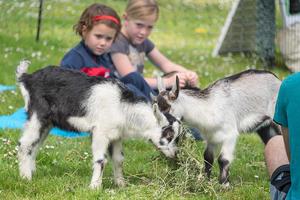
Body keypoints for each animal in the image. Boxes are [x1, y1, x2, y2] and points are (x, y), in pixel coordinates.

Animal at [15, 60, 180, 189]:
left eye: (178, 137)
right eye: (168, 135)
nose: (176, 154)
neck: (122, 107)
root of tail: (27, 78)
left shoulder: (116, 135)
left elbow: (119, 159)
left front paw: (121, 184)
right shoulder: (101, 133)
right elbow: (101, 160)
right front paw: (94, 187)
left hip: (48, 123)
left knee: (35, 145)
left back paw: (31, 172)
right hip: (38, 115)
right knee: (25, 144)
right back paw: (25, 178)